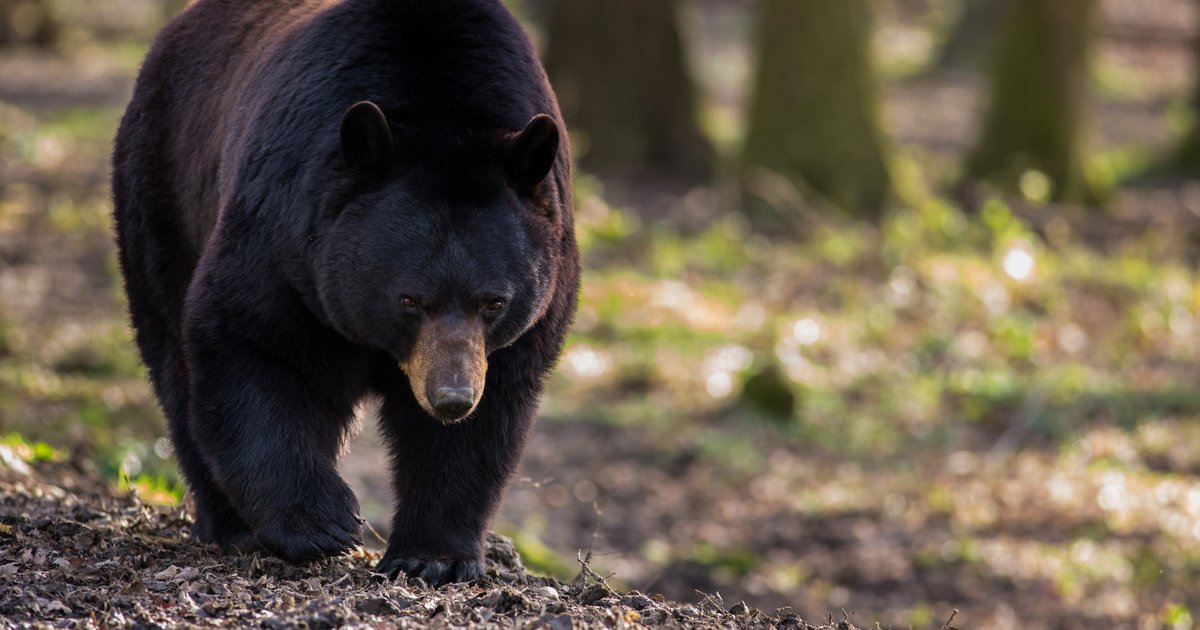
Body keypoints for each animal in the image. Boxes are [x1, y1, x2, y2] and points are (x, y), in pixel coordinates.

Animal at [110, 0, 578, 585]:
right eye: (409, 299)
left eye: (493, 302)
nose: (451, 398)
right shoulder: (288, 240)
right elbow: (254, 345)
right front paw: (320, 523)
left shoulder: (533, 302)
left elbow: (483, 423)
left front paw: (433, 556)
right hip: (163, 186)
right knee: (174, 357)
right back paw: (230, 524)